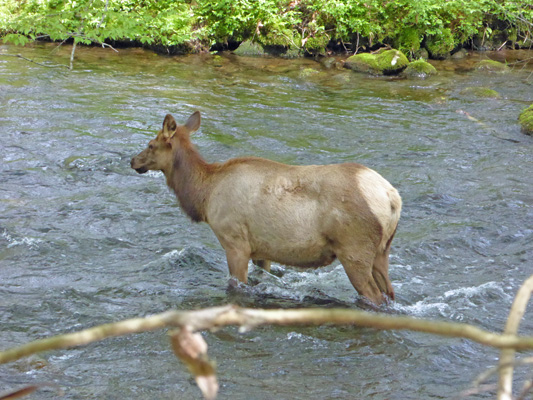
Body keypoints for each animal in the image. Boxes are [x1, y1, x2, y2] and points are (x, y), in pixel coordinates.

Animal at [131, 111, 402, 304]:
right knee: (389, 293)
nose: (133, 160)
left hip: (354, 249)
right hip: (381, 252)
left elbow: (236, 286)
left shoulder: (235, 241)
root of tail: (392, 198)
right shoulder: (262, 250)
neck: (204, 195)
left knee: (374, 296)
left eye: (151, 144)